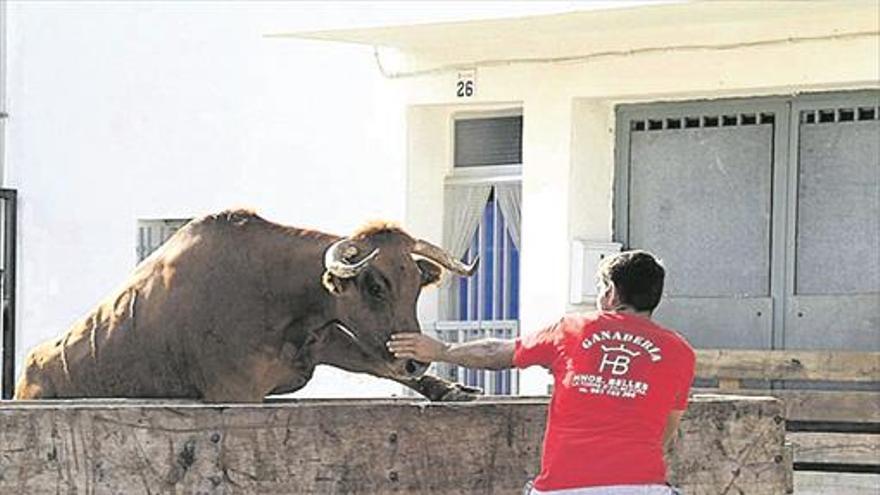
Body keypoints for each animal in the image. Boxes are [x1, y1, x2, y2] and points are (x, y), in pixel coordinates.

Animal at [13, 209, 478, 404]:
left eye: (416, 283)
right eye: (376, 286)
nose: (415, 362)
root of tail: (31, 364)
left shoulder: (324, 340)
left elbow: (375, 362)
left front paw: (448, 387)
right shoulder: (237, 392)